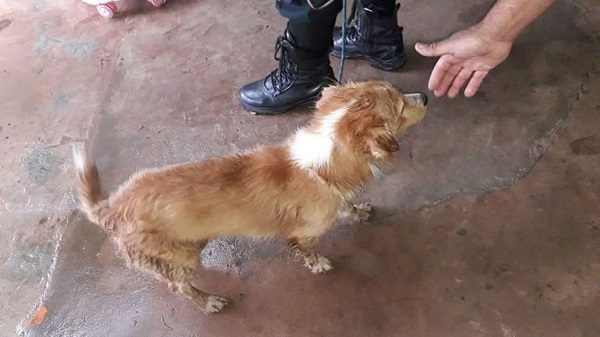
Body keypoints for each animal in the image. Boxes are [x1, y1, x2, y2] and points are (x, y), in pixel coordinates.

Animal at [72, 80, 424, 312]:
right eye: (401, 106)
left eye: (398, 93)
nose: (425, 95)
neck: (322, 163)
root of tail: (109, 208)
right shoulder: (303, 232)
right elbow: (308, 249)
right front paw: (319, 264)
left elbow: (347, 207)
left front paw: (358, 211)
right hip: (179, 257)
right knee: (178, 285)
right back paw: (208, 301)